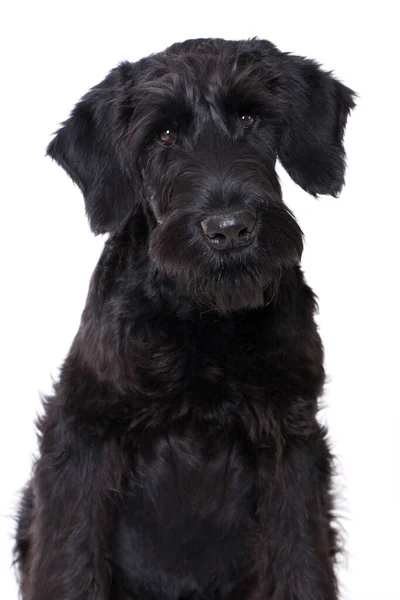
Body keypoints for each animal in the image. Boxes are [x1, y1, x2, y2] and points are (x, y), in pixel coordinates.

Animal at [14, 37, 354, 600]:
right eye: (164, 134)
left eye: (249, 117)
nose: (230, 228)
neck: (206, 319)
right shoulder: (83, 434)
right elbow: (69, 562)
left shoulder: (292, 440)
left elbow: (302, 562)